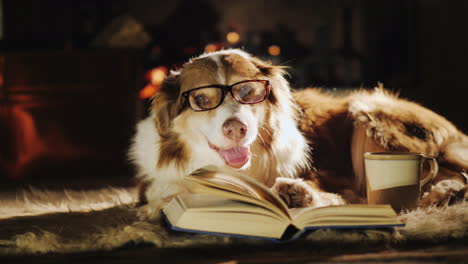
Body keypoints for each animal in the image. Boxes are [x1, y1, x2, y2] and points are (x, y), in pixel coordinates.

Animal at [129, 49, 468, 219]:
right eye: (201, 99)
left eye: (248, 91)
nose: (236, 128)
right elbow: (167, 192)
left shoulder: (334, 179)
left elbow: (333, 195)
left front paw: (298, 194)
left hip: (367, 107)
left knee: (453, 173)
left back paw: (444, 193)